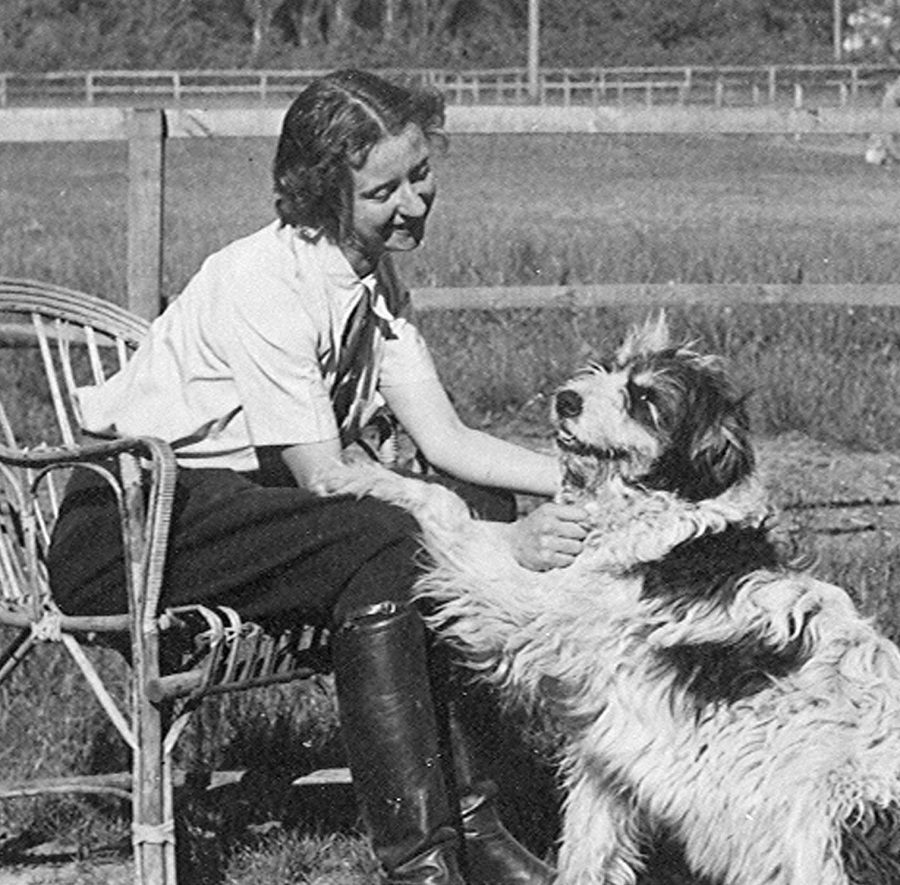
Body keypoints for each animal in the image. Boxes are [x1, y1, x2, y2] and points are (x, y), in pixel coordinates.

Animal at [320, 318, 900, 884]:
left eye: (644, 399)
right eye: (609, 369)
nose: (566, 399)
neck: (669, 509)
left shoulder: (528, 607)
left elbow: (446, 502)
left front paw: (357, 471)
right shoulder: (610, 756)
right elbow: (588, 852)